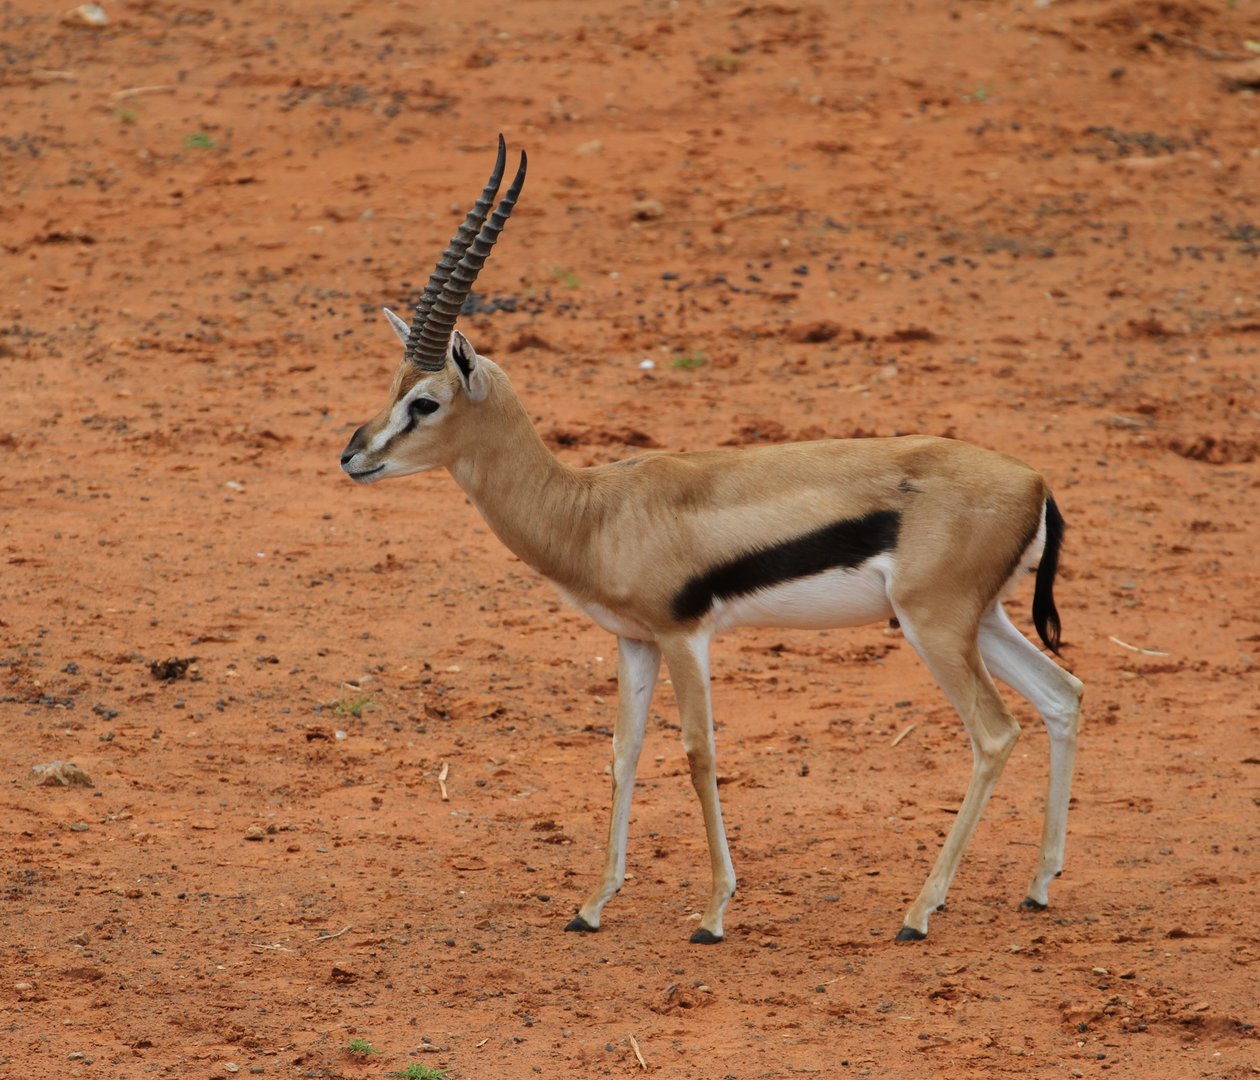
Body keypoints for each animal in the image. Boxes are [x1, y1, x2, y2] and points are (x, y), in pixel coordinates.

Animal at [340, 137, 1084, 943]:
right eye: (392, 385)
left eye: (424, 401)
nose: (353, 455)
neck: (594, 510)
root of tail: (1036, 483)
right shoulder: (633, 641)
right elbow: (623, 752)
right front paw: (592, 906)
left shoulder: (684, 636)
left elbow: (698, 753)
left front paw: (714, 912)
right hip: (983, 620)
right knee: (1063, 695)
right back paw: (1038, 887)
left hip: (935, 626)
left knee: (995, 732)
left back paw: (919, 913)